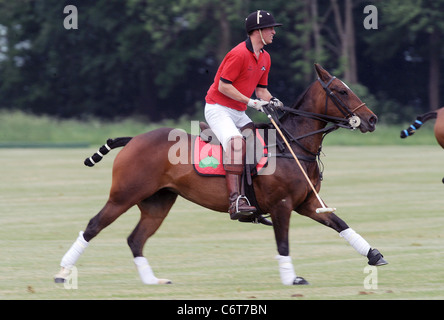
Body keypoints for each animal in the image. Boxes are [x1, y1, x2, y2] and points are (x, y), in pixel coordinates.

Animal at [53, 64, 386, 284]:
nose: (372, 119)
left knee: (136, 239)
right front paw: (292, 278)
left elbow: (340, 224)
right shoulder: (282, 205)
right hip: (124, 194)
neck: (291, 143)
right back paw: (63, 272)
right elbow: (283, 243)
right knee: (93, 226)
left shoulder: (308, 202)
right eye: (341, 91)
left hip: (158, 202)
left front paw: (374, 254)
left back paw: (152, 282)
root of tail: (133, 139)